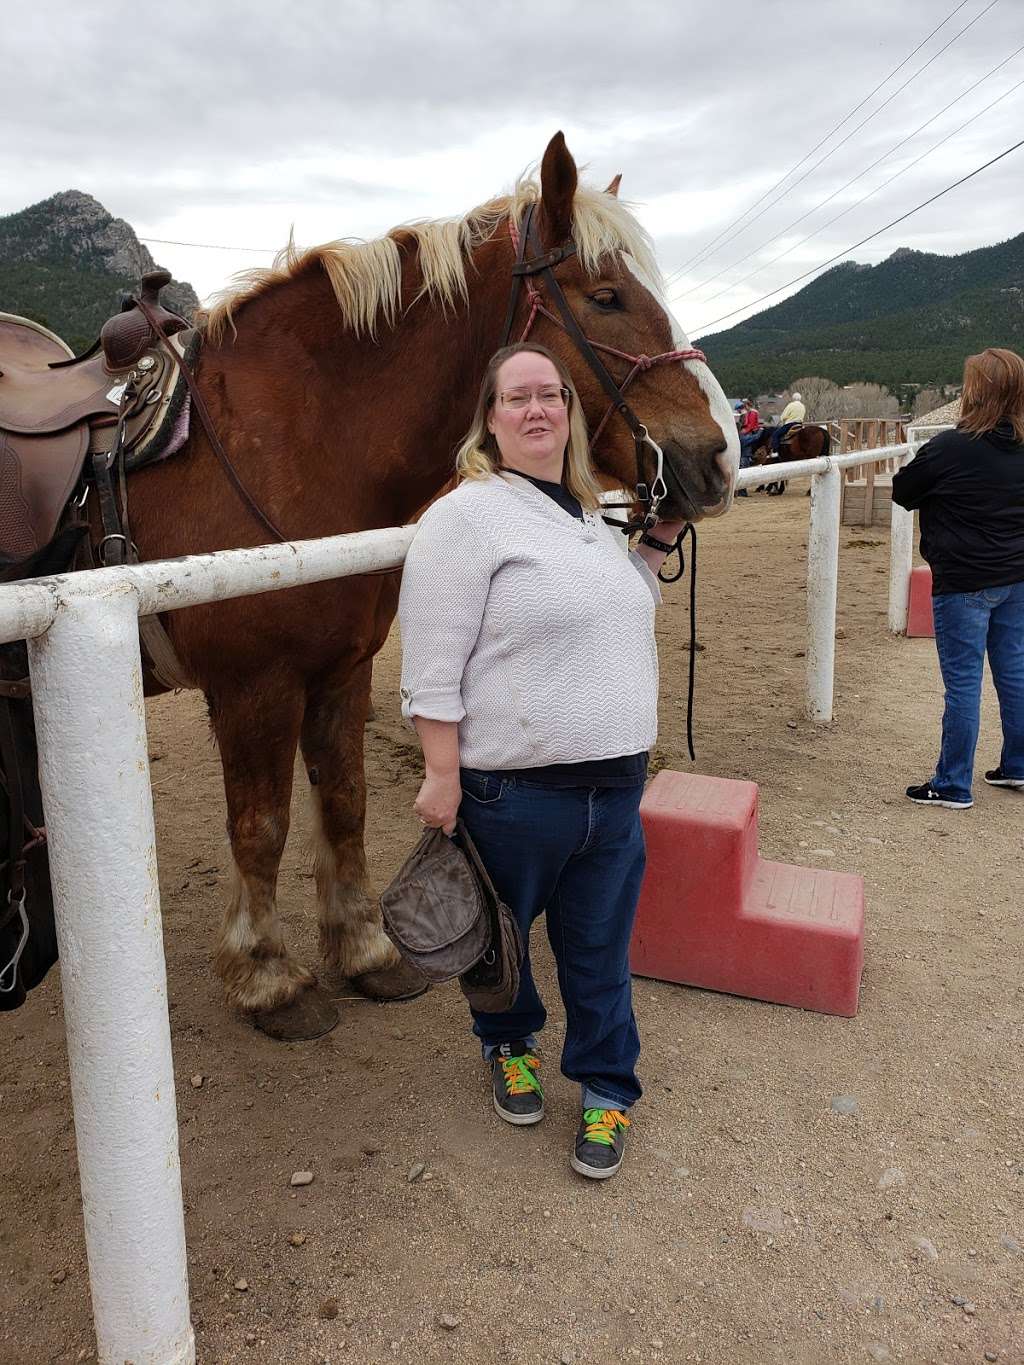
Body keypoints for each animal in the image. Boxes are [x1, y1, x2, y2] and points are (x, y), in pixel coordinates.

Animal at [80, 135, 737, 1031]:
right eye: (605, 297)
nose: (719, 458)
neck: (285, 438)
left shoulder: (340, 669)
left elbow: (344, 800)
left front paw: (365, 950)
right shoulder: (254, 685)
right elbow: (261, 826)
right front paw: (268, 976)